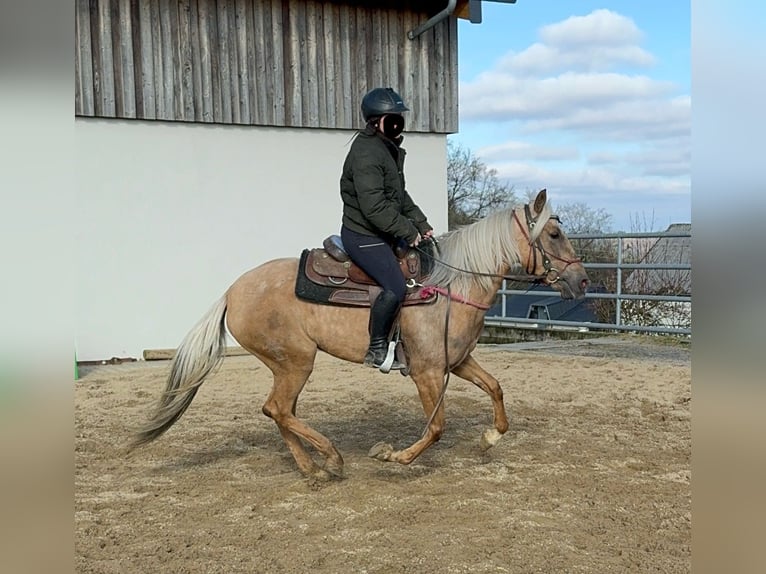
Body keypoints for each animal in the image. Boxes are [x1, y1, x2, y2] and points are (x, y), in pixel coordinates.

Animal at [130, 189, 588, 482]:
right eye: (553, 234)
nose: (582, 281)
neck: (450, 285)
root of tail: (231, 292)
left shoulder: (456, 362)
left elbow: (495, 387)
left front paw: (491, 436)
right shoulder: (427, 372)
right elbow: (436, 428)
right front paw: (394, 455)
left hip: (290, 365)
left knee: (278, 411)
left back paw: (314, 468)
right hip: (296, 362)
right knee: (278, 409)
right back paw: (331, 459)